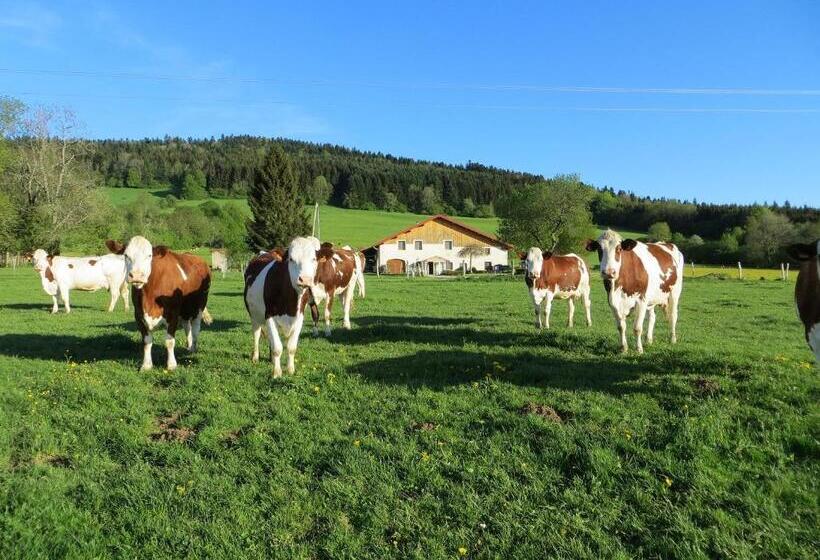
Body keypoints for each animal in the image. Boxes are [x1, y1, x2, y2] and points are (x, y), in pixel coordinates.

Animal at [105, 237, 211, 372]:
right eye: (126, 255)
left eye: (149, 255)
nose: (137, 275)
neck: (150, 297)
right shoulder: (139, 315)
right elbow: (147, 341)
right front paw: (146, 365)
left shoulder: (173, 314)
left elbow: (170, 341)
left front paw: (171, 365)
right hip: (184, 311)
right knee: (187, 327)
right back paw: (189, 346)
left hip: (199, 306)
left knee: (196, 328)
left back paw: (193, 348)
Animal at [242, 236, 318, 376]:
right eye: (291, 259)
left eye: (313, 259)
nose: (304, 279)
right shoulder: (269, 316)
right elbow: (277, 347)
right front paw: (277, 373)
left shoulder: (299, 317)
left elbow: (291, 347)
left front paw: (290, 369)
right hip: (254, 316)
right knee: (256, 334)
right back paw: (255, 357)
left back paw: (271, 358)